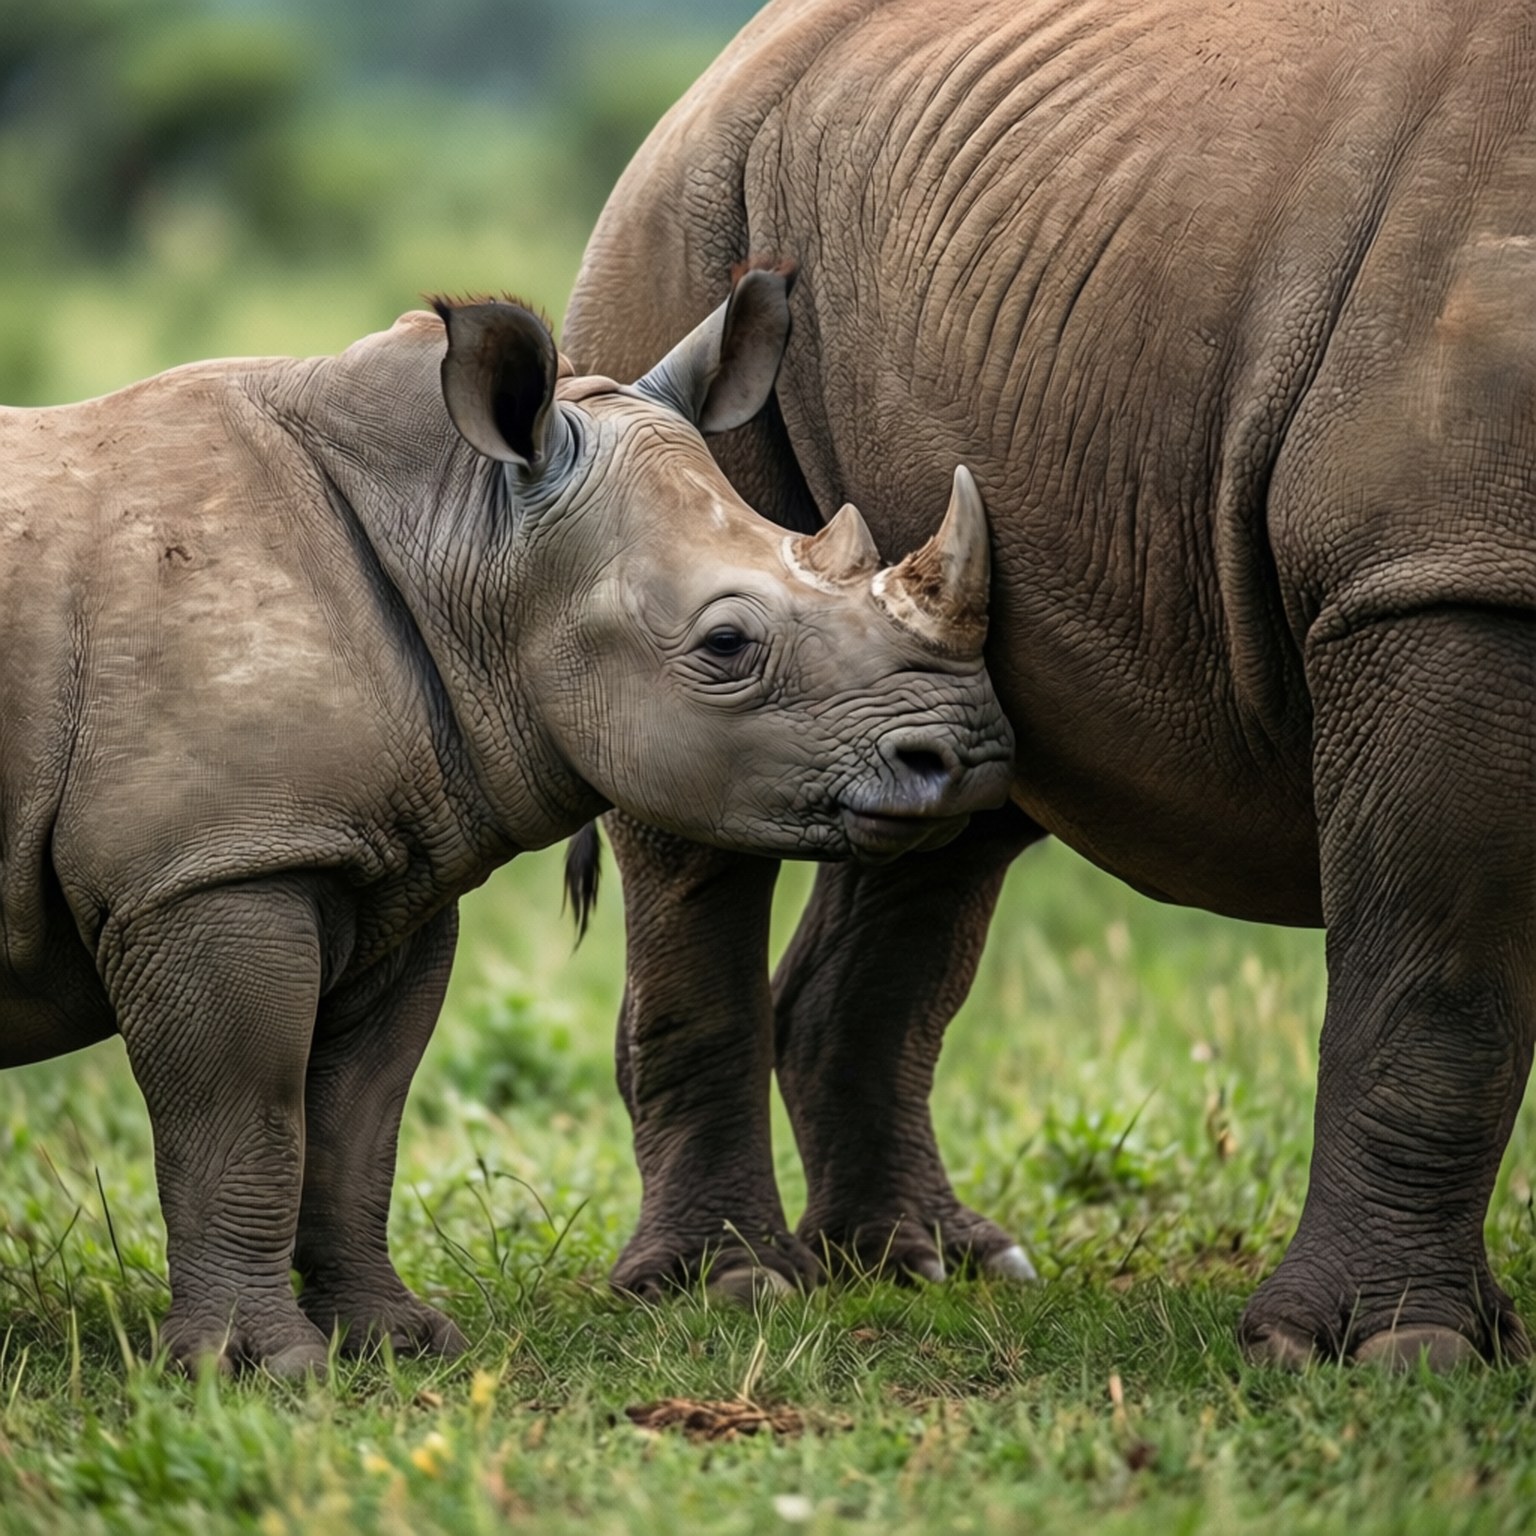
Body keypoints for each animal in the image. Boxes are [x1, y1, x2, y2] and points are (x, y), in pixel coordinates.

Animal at [0, 263, 1013, 1375]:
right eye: (726, 645)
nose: (966, 756)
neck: (465, 531)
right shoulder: (208, 868)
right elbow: (244, 1120)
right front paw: (259, 1370)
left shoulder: (381, 867)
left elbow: (357, 1123)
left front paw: (397, 1342)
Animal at [563, 0, 1536, 1367]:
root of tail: (720, 68)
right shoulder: (1446, 570)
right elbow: (1446, 984)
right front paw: (1391, 1357)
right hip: (686, 229)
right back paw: (732, 1288)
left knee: (947, 798)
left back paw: (930, 1266)